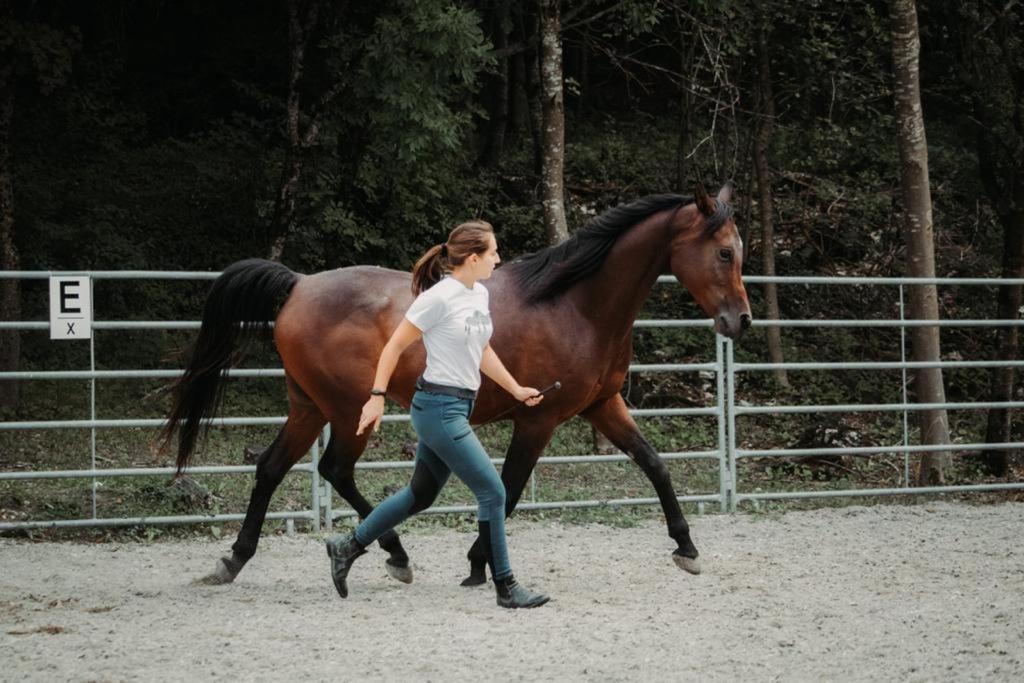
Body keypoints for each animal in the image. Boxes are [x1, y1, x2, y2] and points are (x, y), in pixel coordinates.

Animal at [161, 184, 753, 585]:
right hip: (350, 411)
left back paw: (234, 560)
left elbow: (655, 465)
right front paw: (477, 563)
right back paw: (394, 555)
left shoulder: (603, 406)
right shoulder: (537, 420)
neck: (575, 304)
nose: (741, 321)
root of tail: (299, 284)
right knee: (334, 470)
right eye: (724, 252)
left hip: (310, 407)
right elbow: (508, 492)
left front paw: (686, 547)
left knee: (270, 468)